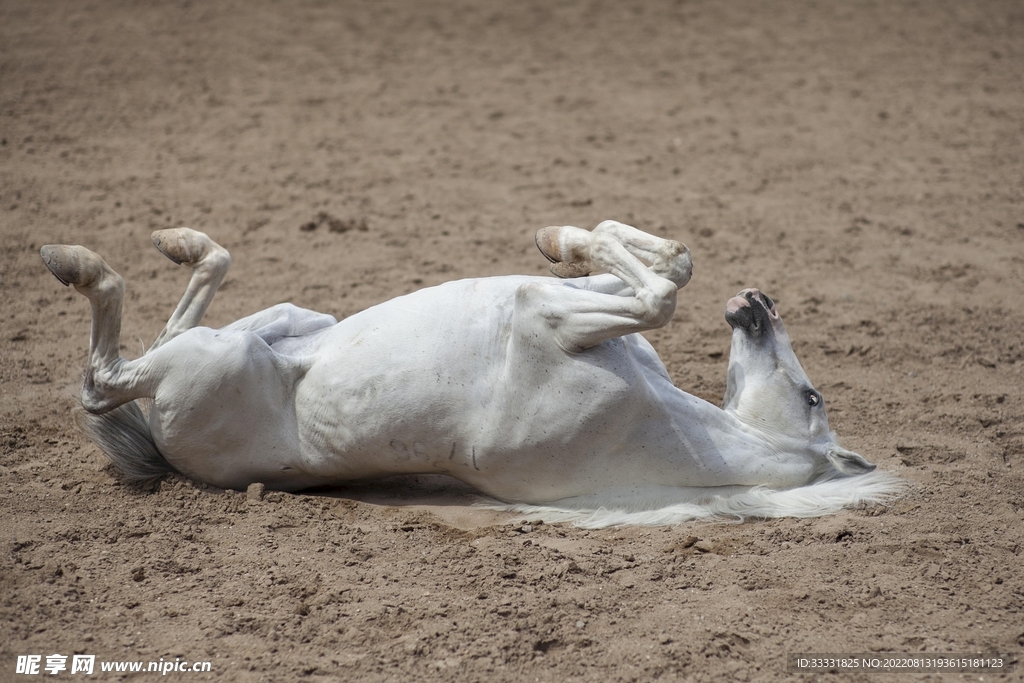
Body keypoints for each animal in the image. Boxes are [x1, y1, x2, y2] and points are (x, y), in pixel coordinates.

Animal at [40, 221, 900, 527]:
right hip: (277, 323)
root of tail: (162, 449)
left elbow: (659, 293)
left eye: (813, 394)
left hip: (214, 360)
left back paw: (74, 260)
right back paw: (177, 240)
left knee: (104, 378)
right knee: (185, 303)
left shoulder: (549, 316)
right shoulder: (570, 305)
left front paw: (573, 237)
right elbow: (664, 268)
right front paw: (565, 236)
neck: (674, 428)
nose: (758, 304)